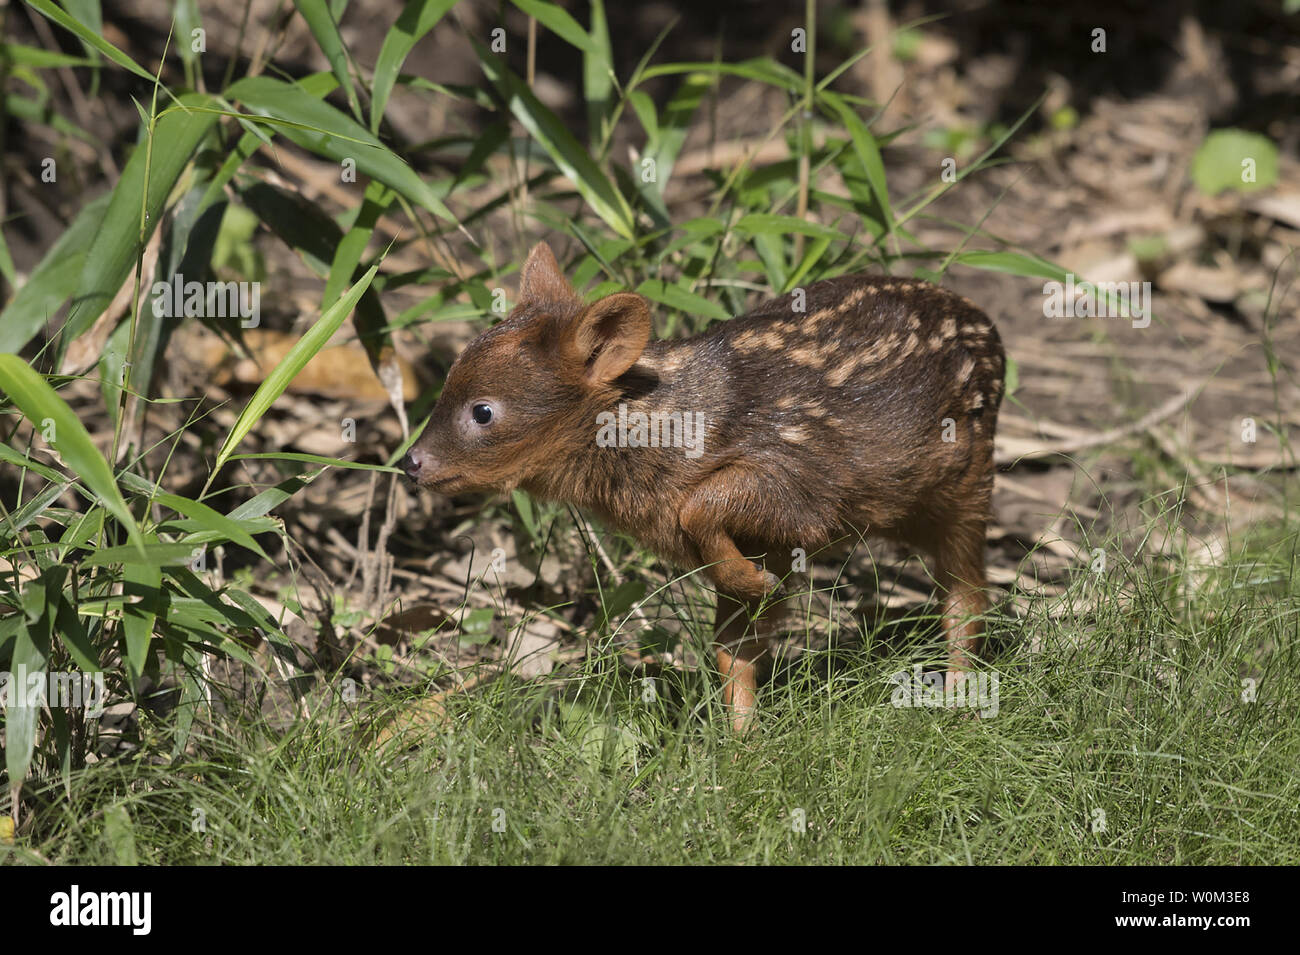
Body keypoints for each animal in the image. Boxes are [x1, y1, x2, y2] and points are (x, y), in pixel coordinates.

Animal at [405, 244, 1003, 732]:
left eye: (483, 411)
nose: (411, 463)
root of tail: (990, 329)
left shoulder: (801, 482)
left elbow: (703, 505)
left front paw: (755, 584)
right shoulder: (771, 542)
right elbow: (733, 646)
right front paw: (740, 751)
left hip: (967, 485)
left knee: (968, 593)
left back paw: (962, 703)